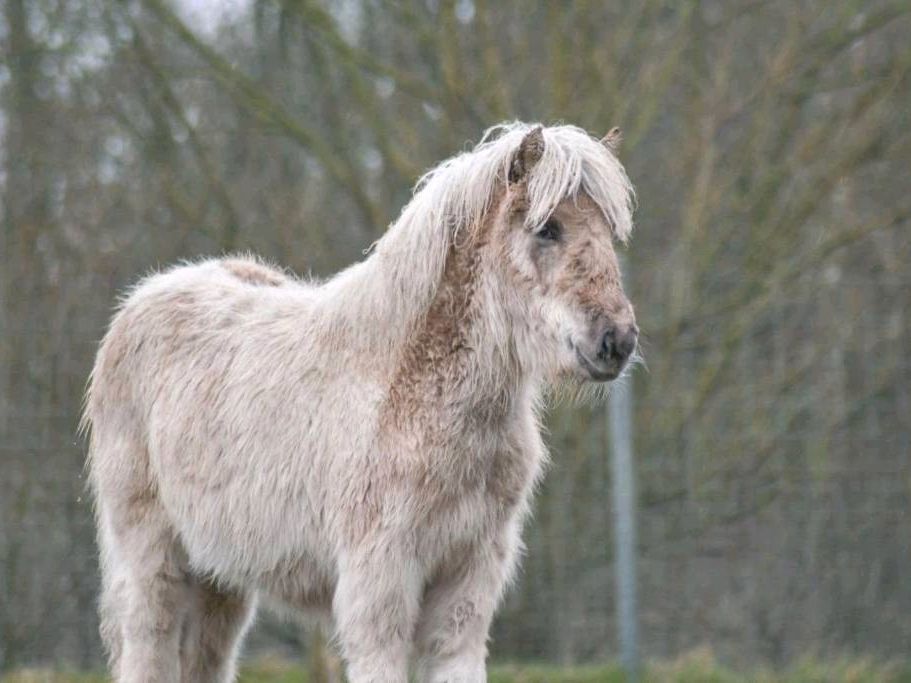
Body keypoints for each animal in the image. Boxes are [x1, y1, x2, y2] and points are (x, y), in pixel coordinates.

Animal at [87, 123, 640, 683]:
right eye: (547, 229)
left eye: (610, 233)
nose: (616, 341)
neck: (406, 393)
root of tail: (140, 304)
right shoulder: (380, 587)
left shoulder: (467, 585)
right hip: (155, 570)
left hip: (220, 583)